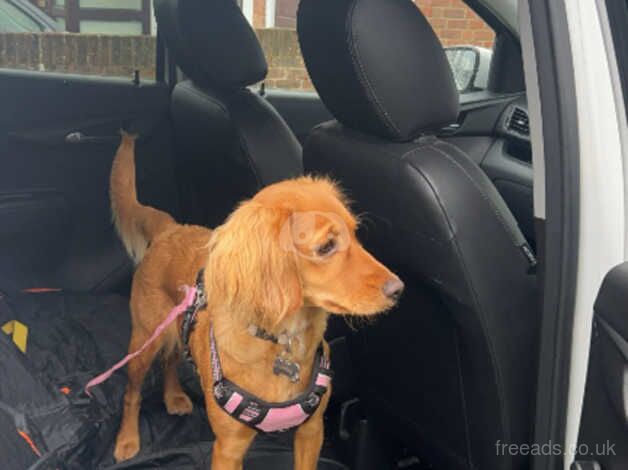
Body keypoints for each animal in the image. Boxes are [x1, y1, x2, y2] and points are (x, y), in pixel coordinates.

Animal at [109, 133, 402, 470]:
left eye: (355, 234)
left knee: (171, 358)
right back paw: (127, 440)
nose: (399, 289)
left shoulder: (312, 431)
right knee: (132, 392)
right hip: (143, 341)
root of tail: (170, 228)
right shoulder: (228, 448)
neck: (283, 342)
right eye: (326, 246)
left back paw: (173, 397)